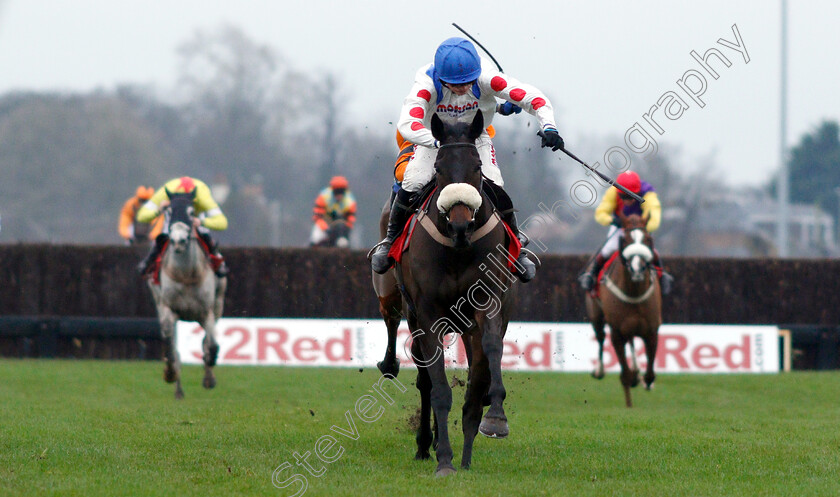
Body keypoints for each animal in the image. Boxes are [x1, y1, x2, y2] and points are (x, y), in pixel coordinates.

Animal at [148, 190, 226, 400]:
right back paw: (178, 390)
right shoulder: (168, 309)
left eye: (192, 212)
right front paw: (169, 373)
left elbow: (211, 344)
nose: (178, 240)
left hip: (218, 303)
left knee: (207, 340)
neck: (186, 274)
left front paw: (210, 375)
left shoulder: (206, 311)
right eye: (168, 210)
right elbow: (171, 347)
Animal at [394, 110, 520, 474]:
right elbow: (438, 388)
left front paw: (494, 418)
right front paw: (444, 460)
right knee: (425, 380)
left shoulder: (488, 302)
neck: (458, 249)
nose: (461, 225)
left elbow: (489, 354)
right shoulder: (427, 314)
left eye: (477, 166)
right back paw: (429, 445)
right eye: (438, 168)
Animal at [584, 213, 664, 406]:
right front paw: (629, 404)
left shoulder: (651, 330)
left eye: (648, 239)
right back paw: (600, 370)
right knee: (600, 337)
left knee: (632, 344)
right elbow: (625, 375)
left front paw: (645, 381)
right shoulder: (617, 332)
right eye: (625, 240)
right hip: (596, 316)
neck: (634, 291)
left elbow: (650, 374)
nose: (637, 269)